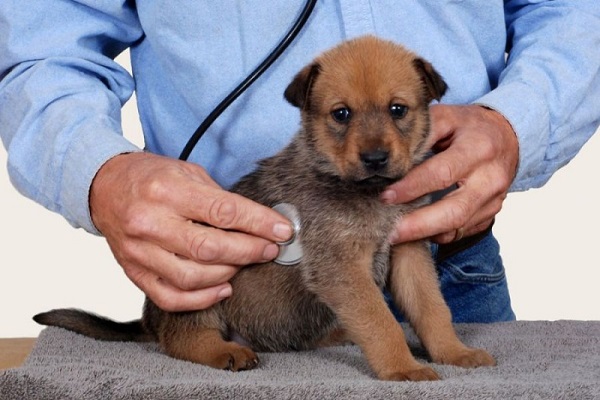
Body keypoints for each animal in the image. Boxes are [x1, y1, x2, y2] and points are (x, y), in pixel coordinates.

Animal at [38, 36, 496, 382]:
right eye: (341, 114)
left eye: (397, 109)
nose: (375, 159)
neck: (365, 194)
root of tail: (149, 319)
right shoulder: (343, 266)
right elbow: (381, 320)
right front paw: (403, 367)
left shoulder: (408, 253)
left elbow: (432, 309)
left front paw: (454, 352)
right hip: (201, 284)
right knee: (182, 339)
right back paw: (224, 352)